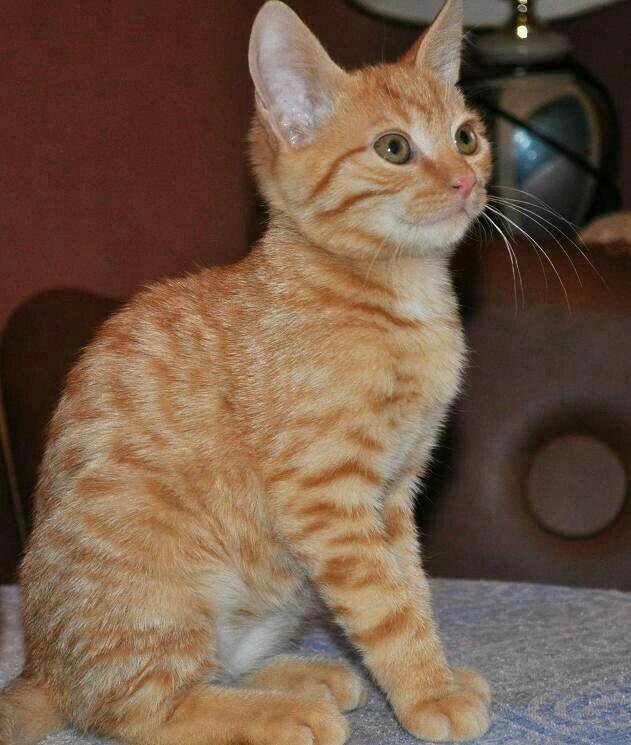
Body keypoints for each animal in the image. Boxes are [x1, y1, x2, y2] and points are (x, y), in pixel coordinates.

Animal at [0, 1, 493, 743]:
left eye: (466, 137)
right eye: (394, 149)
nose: (465, 180)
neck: (397, 298)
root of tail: (44, 666)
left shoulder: (392, 495)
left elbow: (408, 585)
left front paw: (432, 675)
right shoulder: (324, 494)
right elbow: (383, 603)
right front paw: (427, 692)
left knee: (214, 669)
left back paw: (303, 677)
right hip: (164, 593)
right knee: (142, 710)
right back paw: (282, 714)